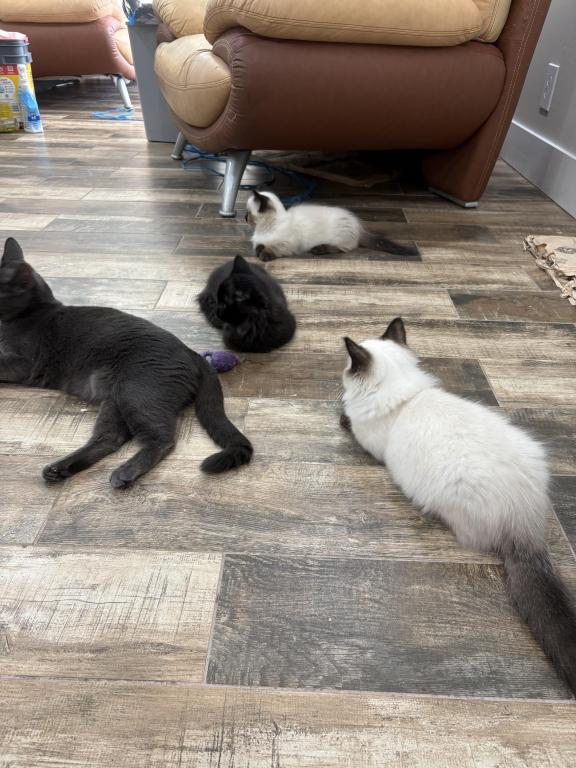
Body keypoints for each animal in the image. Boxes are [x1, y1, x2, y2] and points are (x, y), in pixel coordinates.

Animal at [0, 237, 252, 488]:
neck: (32, 313)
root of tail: (193, 353)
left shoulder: (25, 363)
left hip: (135, 394)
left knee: (162, 439)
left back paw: (124, 473)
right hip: (115, 400)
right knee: (110, 439)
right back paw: (58, 469)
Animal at [245, 190, 419, 261]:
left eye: (248, 212)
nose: (244, 217)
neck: (264, 228)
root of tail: (358, 225)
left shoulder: (287, 244)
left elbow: (272, 248)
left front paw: (264, 255)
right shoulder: (259, 240)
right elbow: (258, 245)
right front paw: (259, 250)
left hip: (338, 238)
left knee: (341, 249)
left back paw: (318, 249)